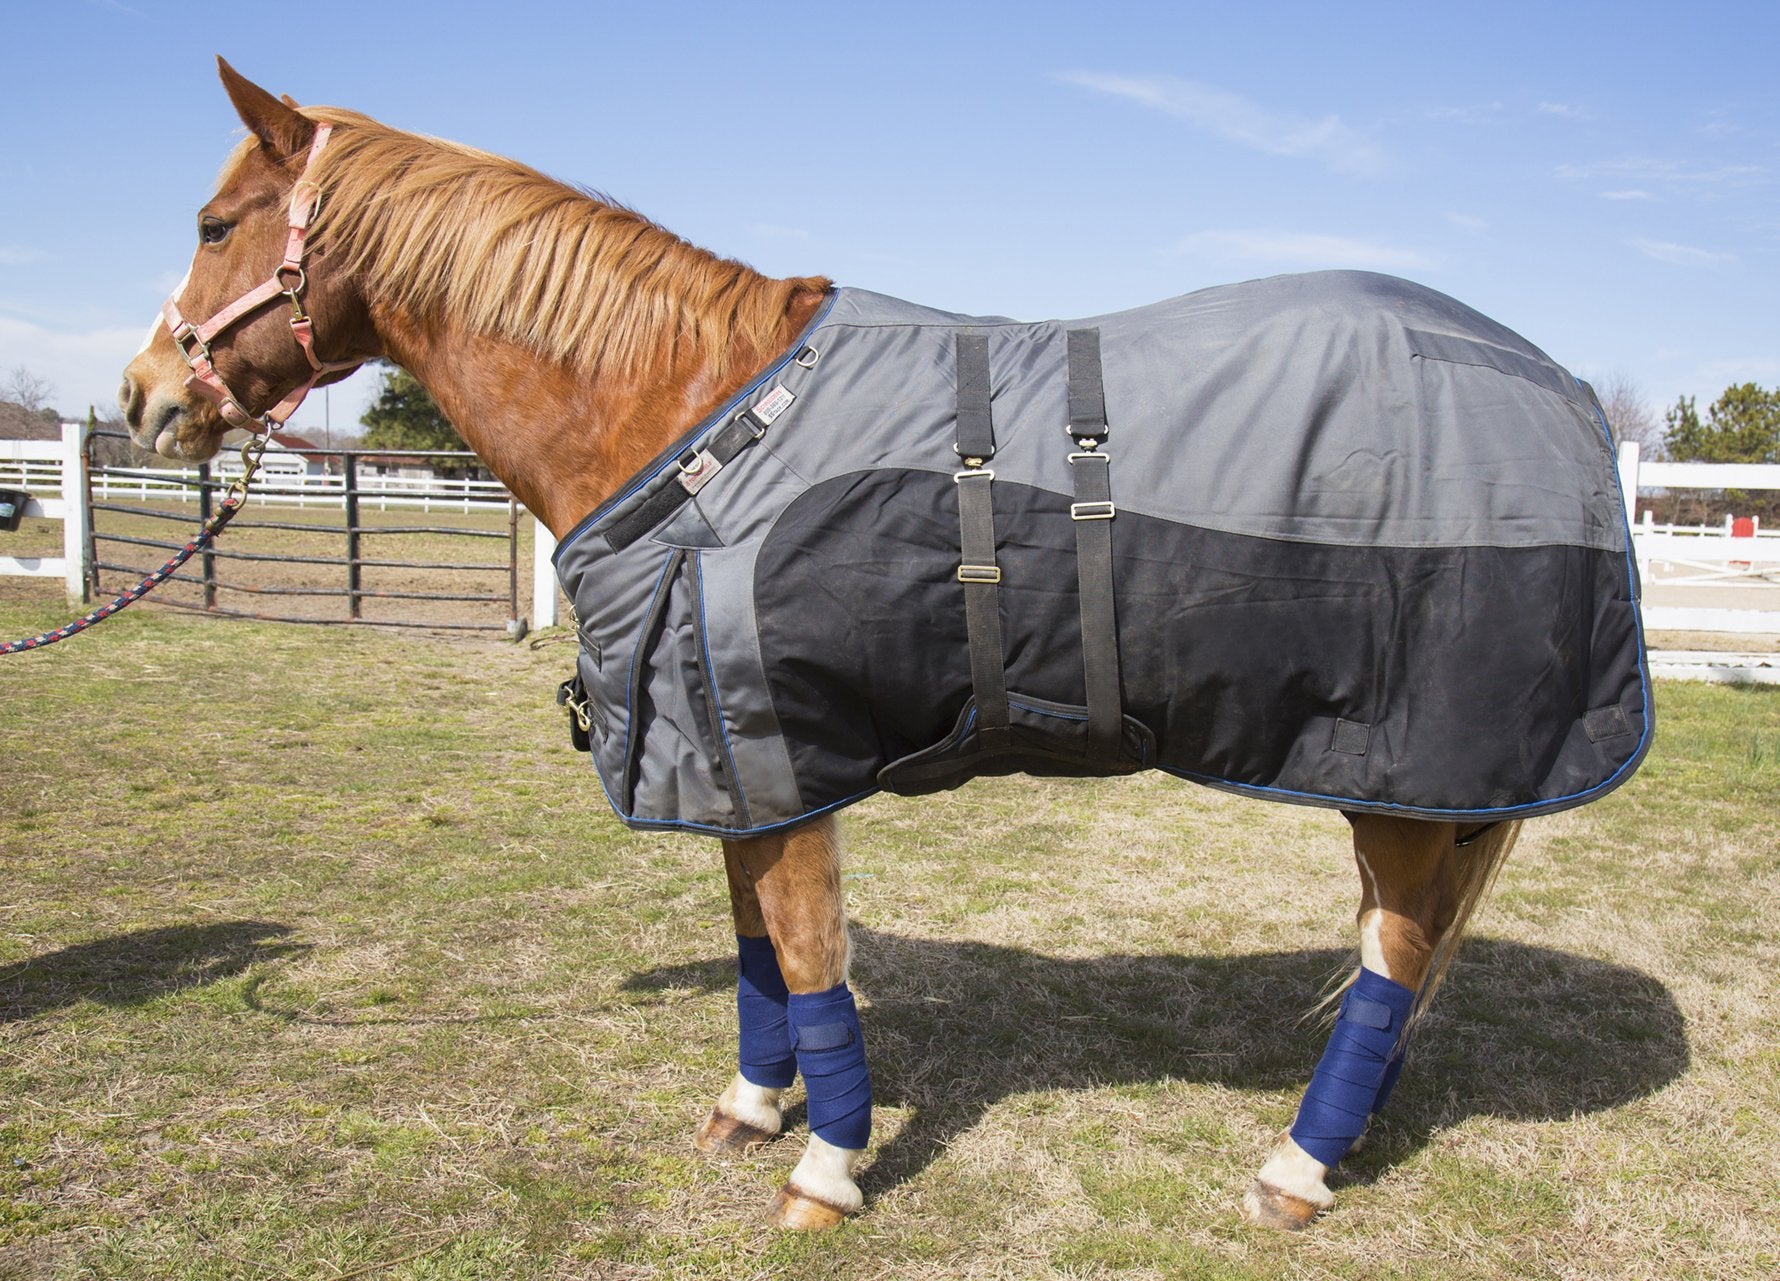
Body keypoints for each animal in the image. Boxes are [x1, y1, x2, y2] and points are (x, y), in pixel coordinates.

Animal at [118, 59, 1649, 1232]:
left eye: (212, 220)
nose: (141, 399)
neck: (695, 421)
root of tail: (1566, 387)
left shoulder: (782, 758)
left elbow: (807, 956)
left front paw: (827, 1170)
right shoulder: (732, 761)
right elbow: (753, 951)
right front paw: (748, 1108)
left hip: (1403, 774)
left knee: (1393, 957)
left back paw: (1296, 1169)